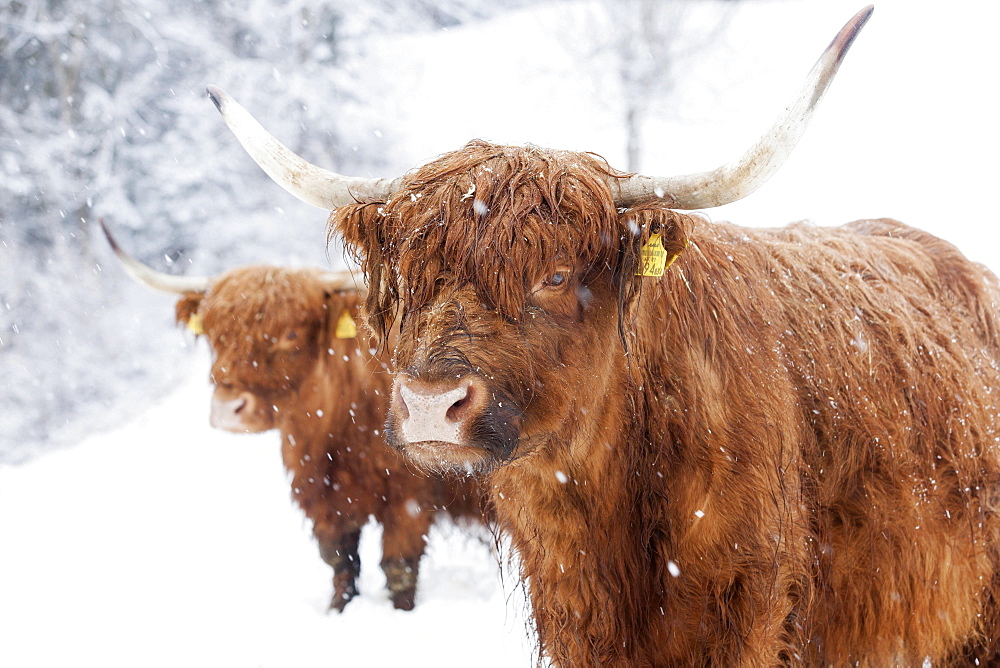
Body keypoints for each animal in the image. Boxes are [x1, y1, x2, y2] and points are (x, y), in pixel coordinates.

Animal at [103, 223, 486, 612]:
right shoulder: (320, 495)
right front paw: (336, 611)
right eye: (215, 334)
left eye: (290, 334)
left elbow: (399, 568)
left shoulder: (409, 498)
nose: (228, 409)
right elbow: (341, 563)